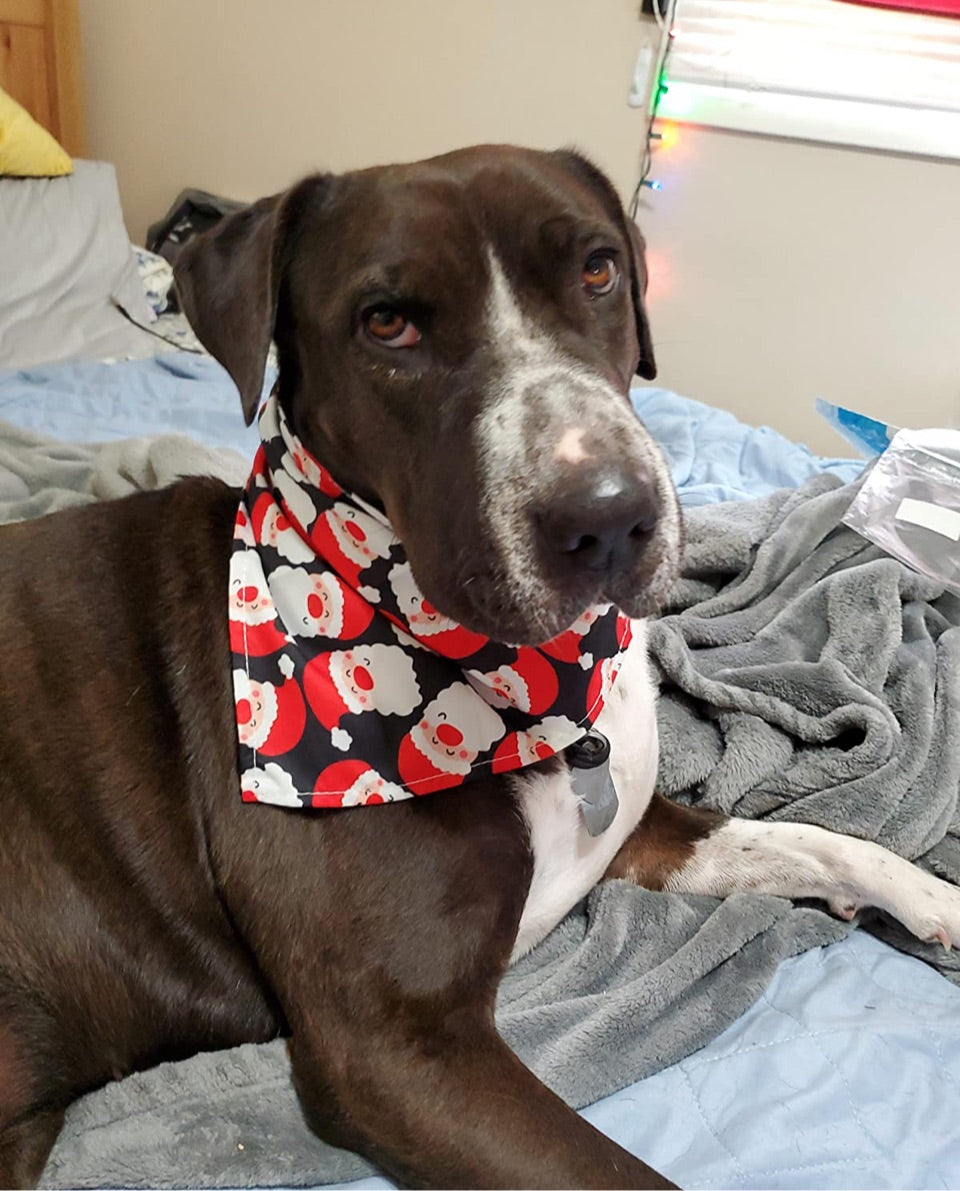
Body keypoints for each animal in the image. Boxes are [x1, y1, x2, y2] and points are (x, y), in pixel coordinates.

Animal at [1, 148, 960, 1191]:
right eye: (387, 322)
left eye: (599, 269)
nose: (612, 515)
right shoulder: (400, 1046)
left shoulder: (633, 835)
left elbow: (810, 836)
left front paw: (934, 900)